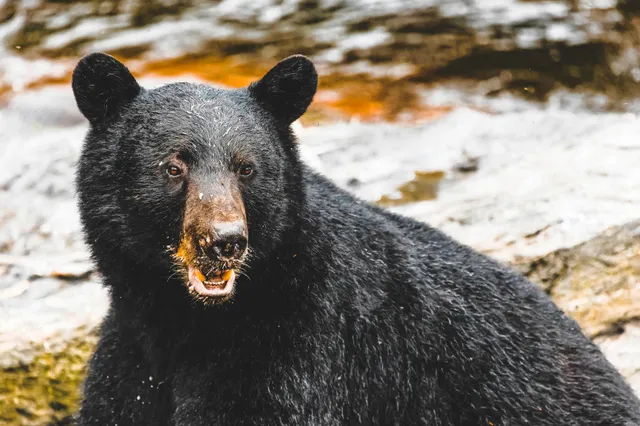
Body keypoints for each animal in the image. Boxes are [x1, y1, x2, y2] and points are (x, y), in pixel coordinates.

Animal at [71, 52, 640, 426]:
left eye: (247, 168)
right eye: (173, 166)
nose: (225, 240)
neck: (186, 322)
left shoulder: (303, 353)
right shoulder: (131, 359)